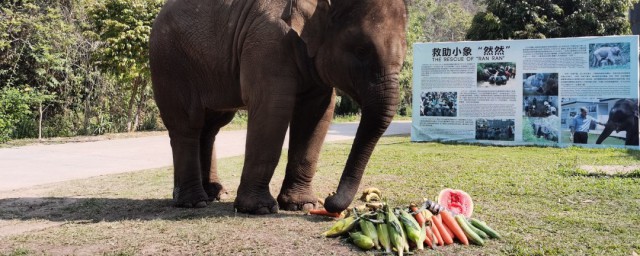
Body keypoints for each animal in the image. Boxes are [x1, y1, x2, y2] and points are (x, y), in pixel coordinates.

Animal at [149, 0, 408, 215]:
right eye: (362, 50)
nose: (328, 200)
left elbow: (317, 113)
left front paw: (302, 205)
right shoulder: (268, 43)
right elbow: (272, 109)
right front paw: (259, 209)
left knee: (211, 127)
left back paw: (214, 193)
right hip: (169, 63)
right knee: (187, 124)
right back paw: (194, 202)